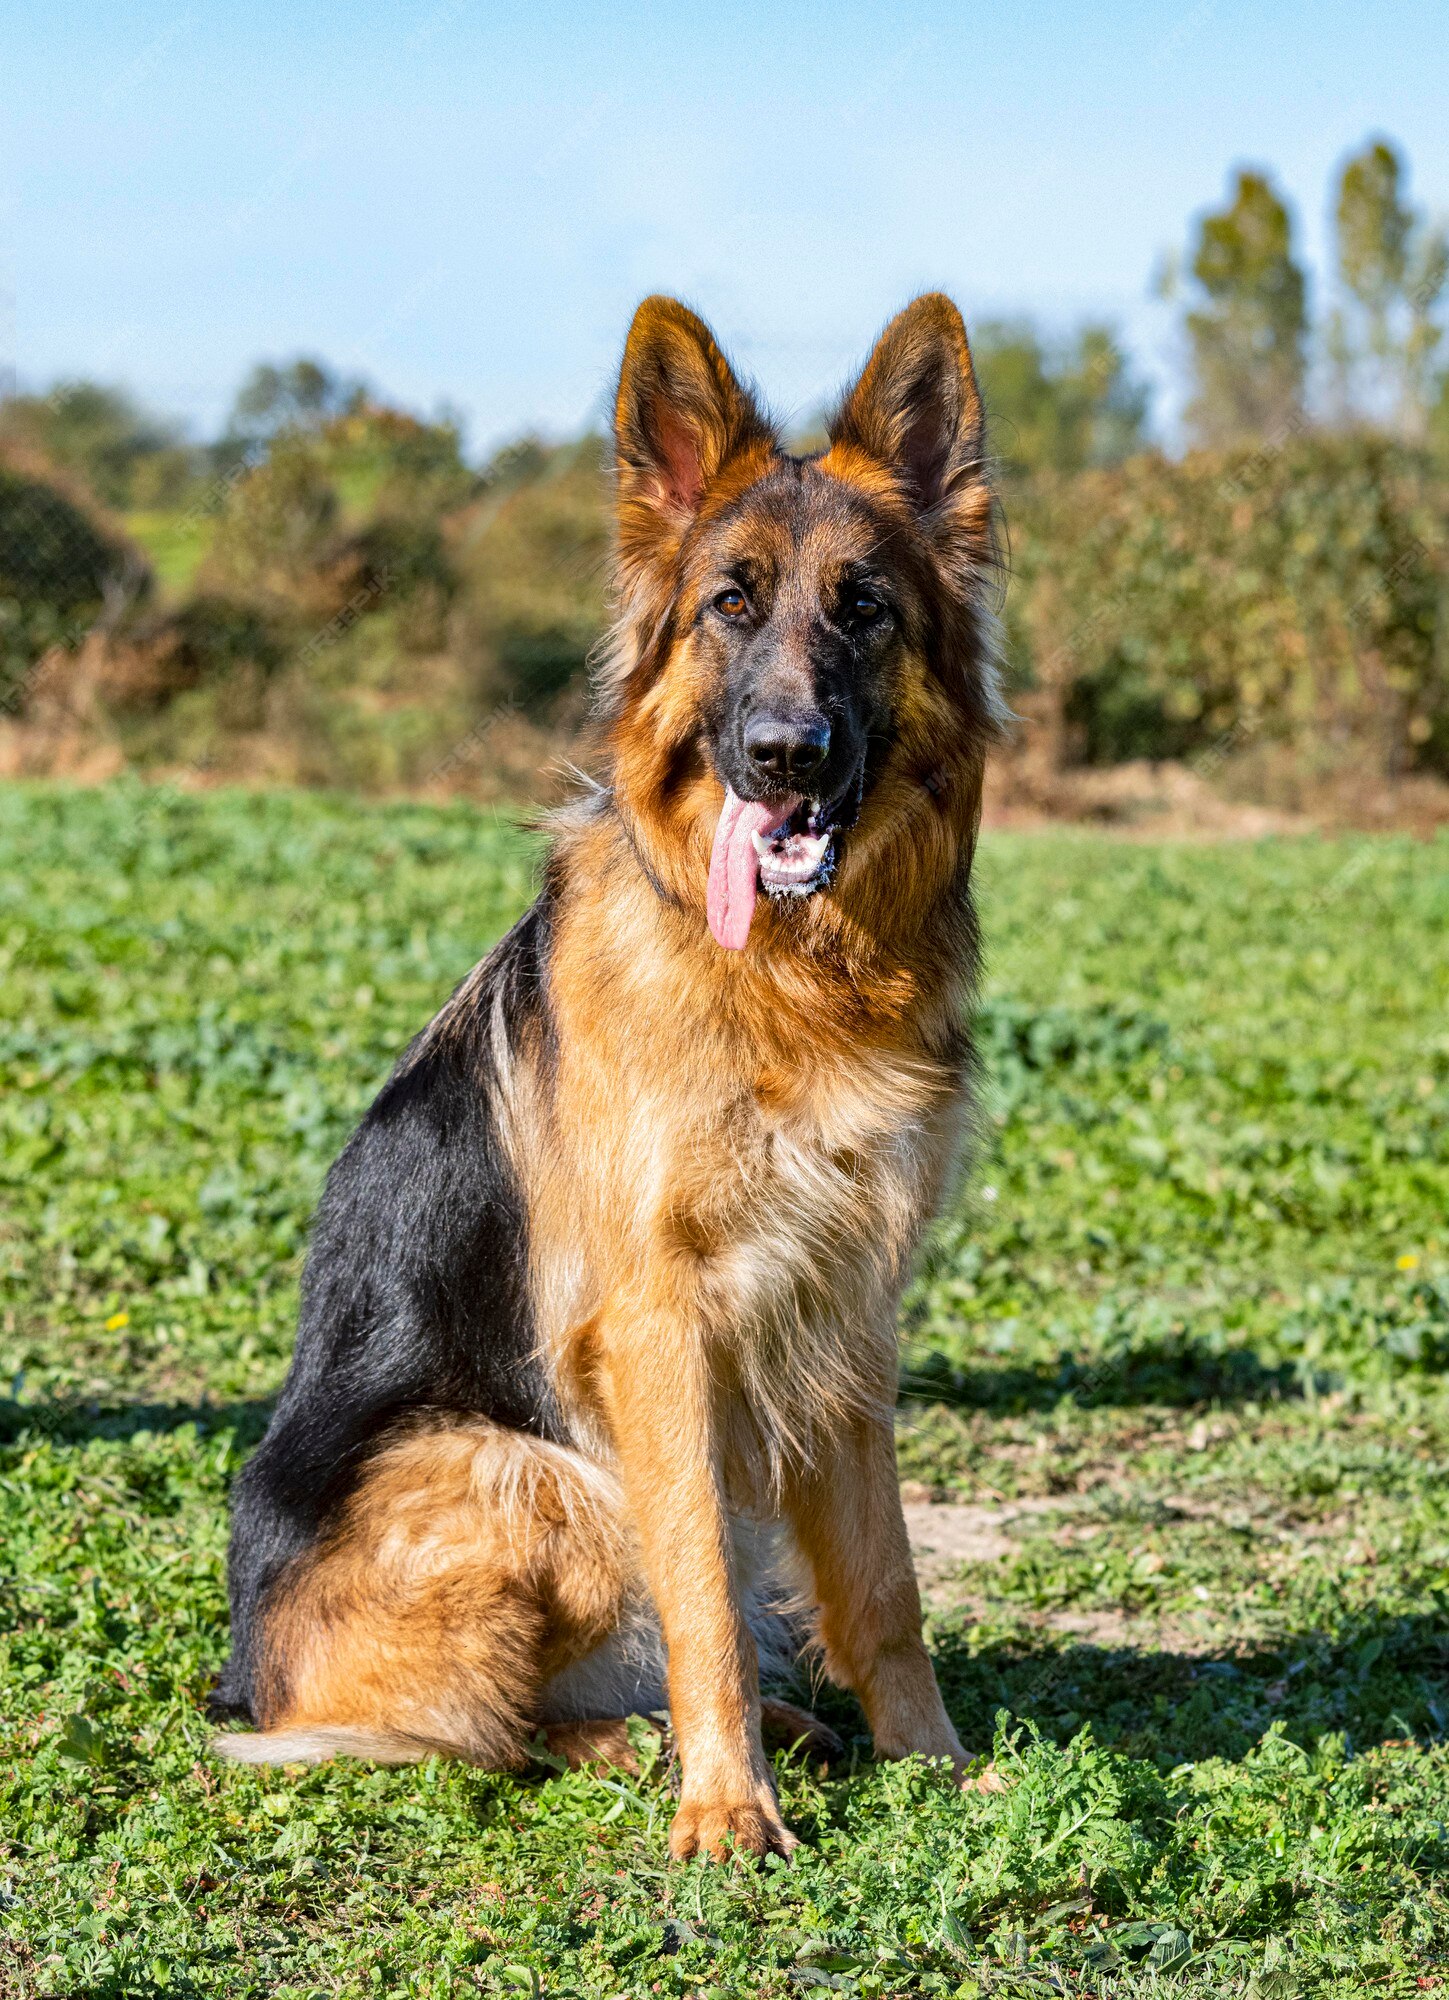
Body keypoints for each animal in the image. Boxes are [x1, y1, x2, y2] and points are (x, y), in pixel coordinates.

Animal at [215, 292, 1000, 1856]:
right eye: (731, 605)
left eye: (864, 608)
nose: (782, 757)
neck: (790, 982)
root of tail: (249, 1676)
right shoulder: (658, 1325)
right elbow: (699, 1584)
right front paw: (724, 1809)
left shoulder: (850, 1310)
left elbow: (886, 1584)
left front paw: (934, 1765)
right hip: (524, 1471)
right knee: (489, 1732)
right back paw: (639, 1747)